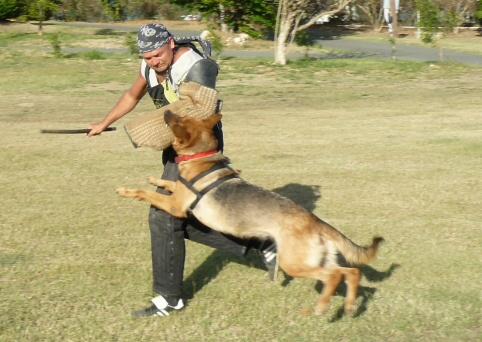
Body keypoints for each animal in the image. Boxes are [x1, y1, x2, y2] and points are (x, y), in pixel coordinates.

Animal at [115, 110, 382, 316]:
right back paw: (348, 306)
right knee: (351, 272)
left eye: (178, 120)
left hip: (295, 263)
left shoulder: (175, 206)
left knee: (334, 277)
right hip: (318, 259)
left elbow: (147, 193)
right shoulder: (177, 193)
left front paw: (126, 190)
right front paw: (154, 178)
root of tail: (316, 221)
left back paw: (322, 307)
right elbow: (168, 183)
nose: (167, 111)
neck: (200, 158)